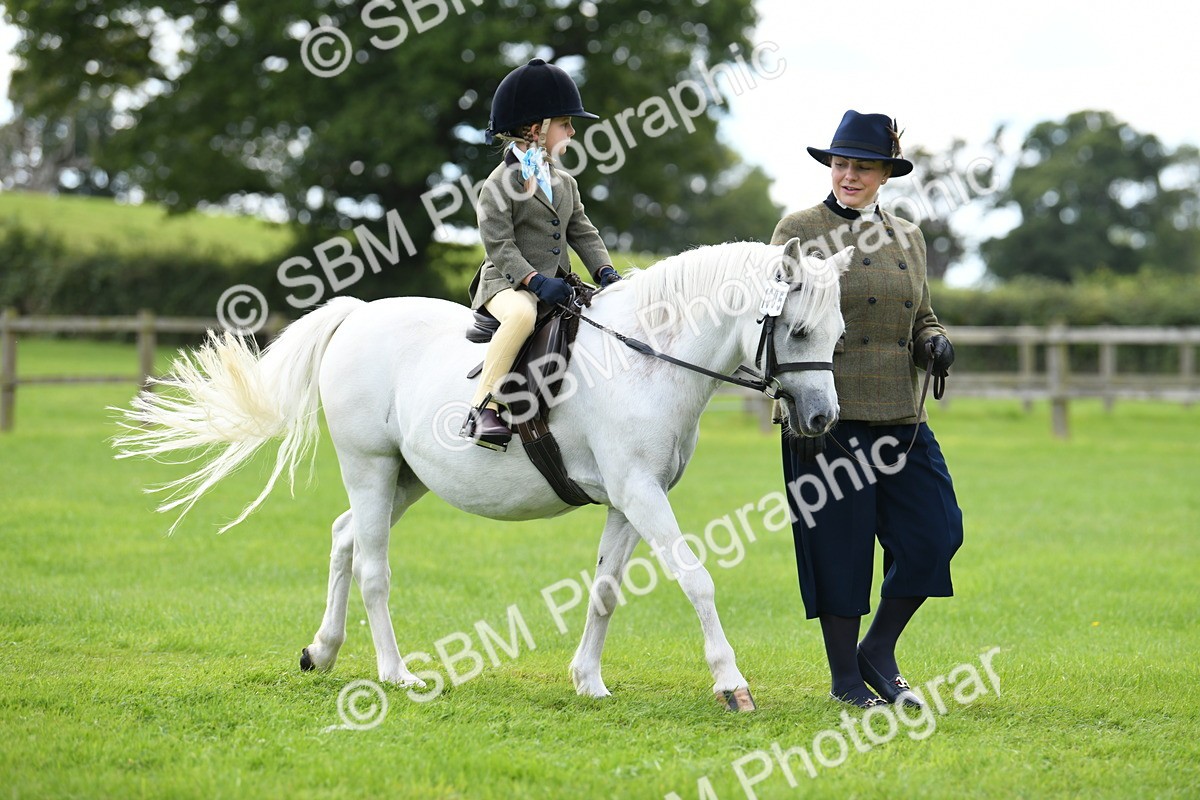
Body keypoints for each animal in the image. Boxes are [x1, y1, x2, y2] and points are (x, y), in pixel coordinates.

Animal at [114, 237, 852, 709]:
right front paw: (731, 683)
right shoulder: (640, 493)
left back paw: (321, 651)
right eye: (798, 331)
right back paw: (394, 673)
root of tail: (357, 315)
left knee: (345, 537)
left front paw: (589, 681)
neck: (646, 354)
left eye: (838, 334)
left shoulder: (628, 499)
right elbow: (696, 578)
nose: (822, 417)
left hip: (405, 479)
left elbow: (606, 589)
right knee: (373, 568)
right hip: (369, 467)